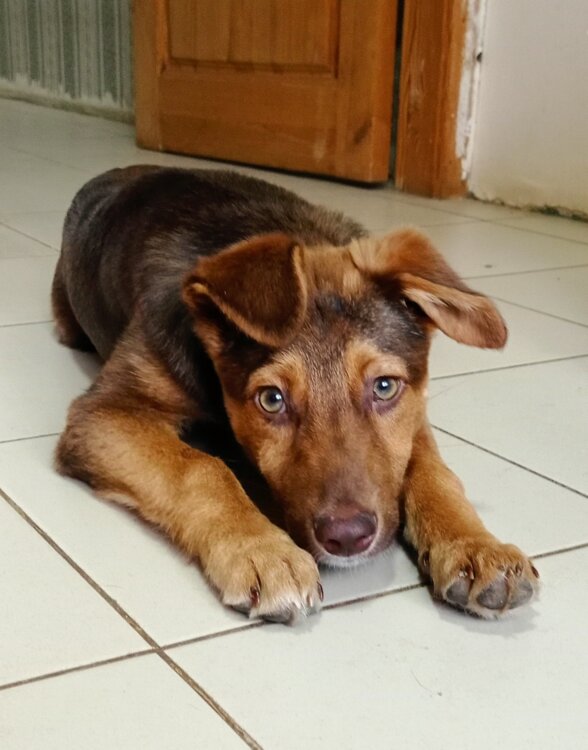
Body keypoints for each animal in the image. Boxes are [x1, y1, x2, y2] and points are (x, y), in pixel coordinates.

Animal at [52, 166, 539, 623]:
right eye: (272, 399)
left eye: (384, 388)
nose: (348, 537)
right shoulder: (106, 411)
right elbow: (200, 468)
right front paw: (261, 550)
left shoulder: (413, 411)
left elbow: (433, 472)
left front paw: (475, 545)